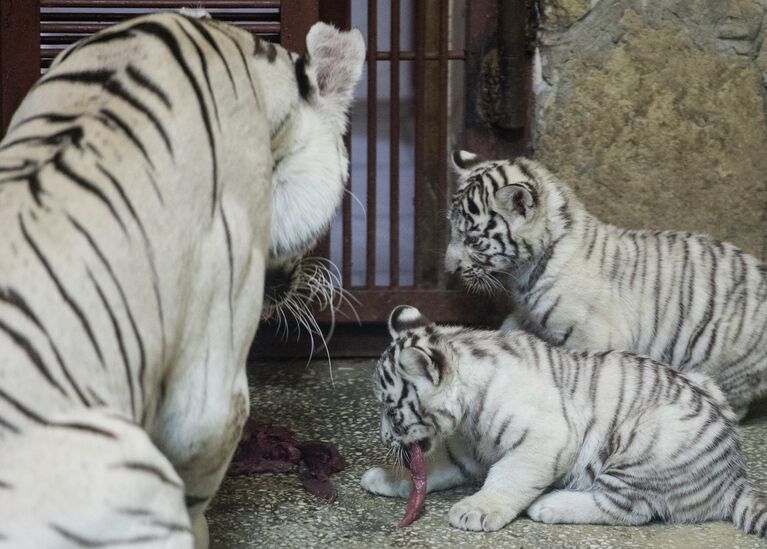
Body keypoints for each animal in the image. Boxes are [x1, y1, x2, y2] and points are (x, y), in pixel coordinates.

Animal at [448, 150, 767, 416]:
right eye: (451, 229)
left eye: (473, 240)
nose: (449, 268)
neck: (528, 268)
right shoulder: (527, 315)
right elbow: (508, 331)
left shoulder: (592, 335)